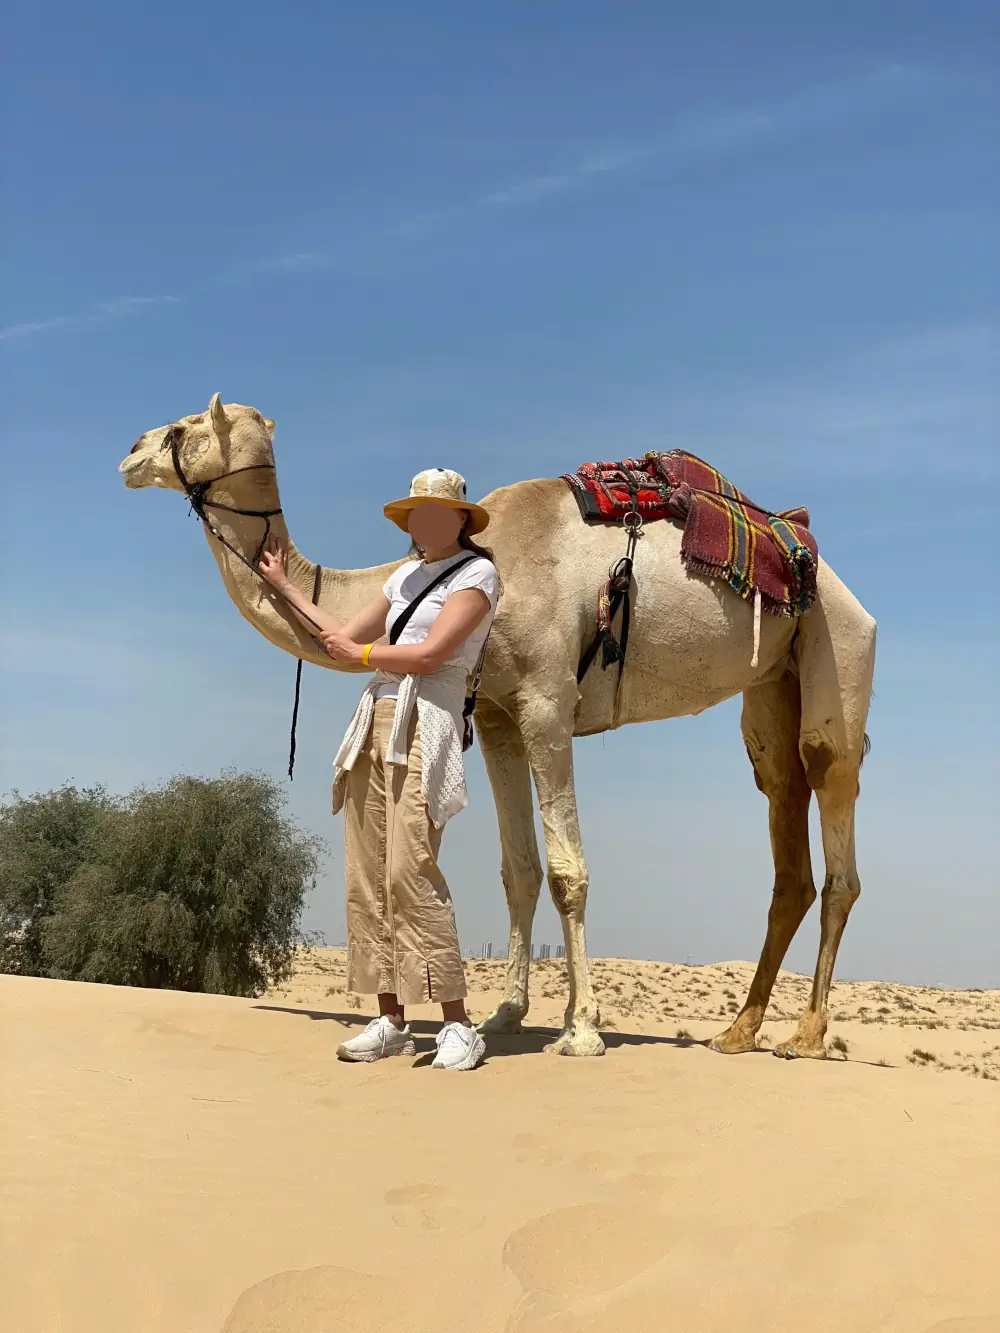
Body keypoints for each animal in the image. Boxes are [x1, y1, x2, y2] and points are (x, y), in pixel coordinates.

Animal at [120, 395, 876, 1059]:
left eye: (184, 427)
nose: (130, 451)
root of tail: (832, 576)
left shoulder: (546, 702)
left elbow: (568, 869)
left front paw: (582, 1030)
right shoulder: (497, 715)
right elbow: (519, 869)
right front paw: (507, 1013)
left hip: (838, 643)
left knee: (832, 798)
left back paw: (808, 1036)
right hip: (772, 680)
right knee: (784, 810)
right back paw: (740, 1031)